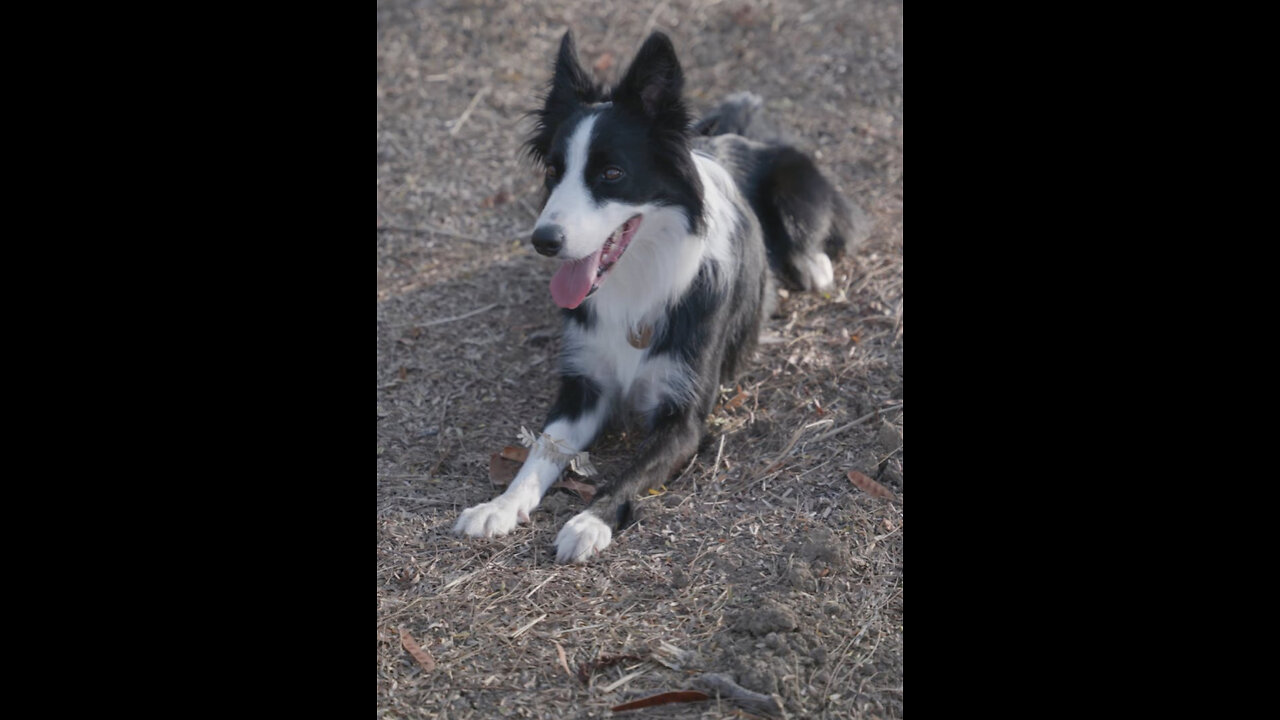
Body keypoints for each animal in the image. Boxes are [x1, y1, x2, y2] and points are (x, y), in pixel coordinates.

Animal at [453, 30, 870, 561]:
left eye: (612, 173)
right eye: (553, 170)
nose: (543, 240)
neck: (638, 278)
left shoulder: (684, 416)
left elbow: (631, 471)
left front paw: (589, 520)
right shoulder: (583, 386)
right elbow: (541, 449)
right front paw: (500, 506)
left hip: (796, 189)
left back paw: (814, 267)